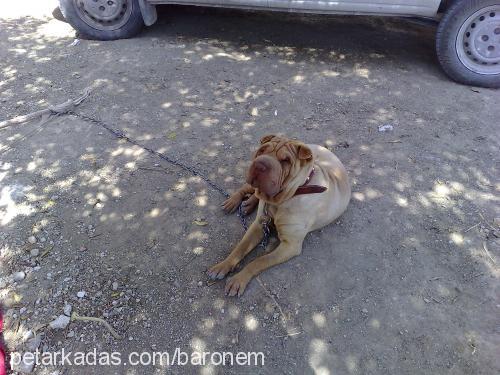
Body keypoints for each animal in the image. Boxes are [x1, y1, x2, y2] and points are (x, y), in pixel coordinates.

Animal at [207, 134, 352, 296]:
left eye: (286, 161)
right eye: (262, 150)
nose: (260, 164)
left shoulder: (289, 245)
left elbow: (259, 261)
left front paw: (238, 280)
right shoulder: (258, 225)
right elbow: (240, 248)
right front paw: (222, 265)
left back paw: (247, 205)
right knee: (249, 189)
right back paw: (235, 202)